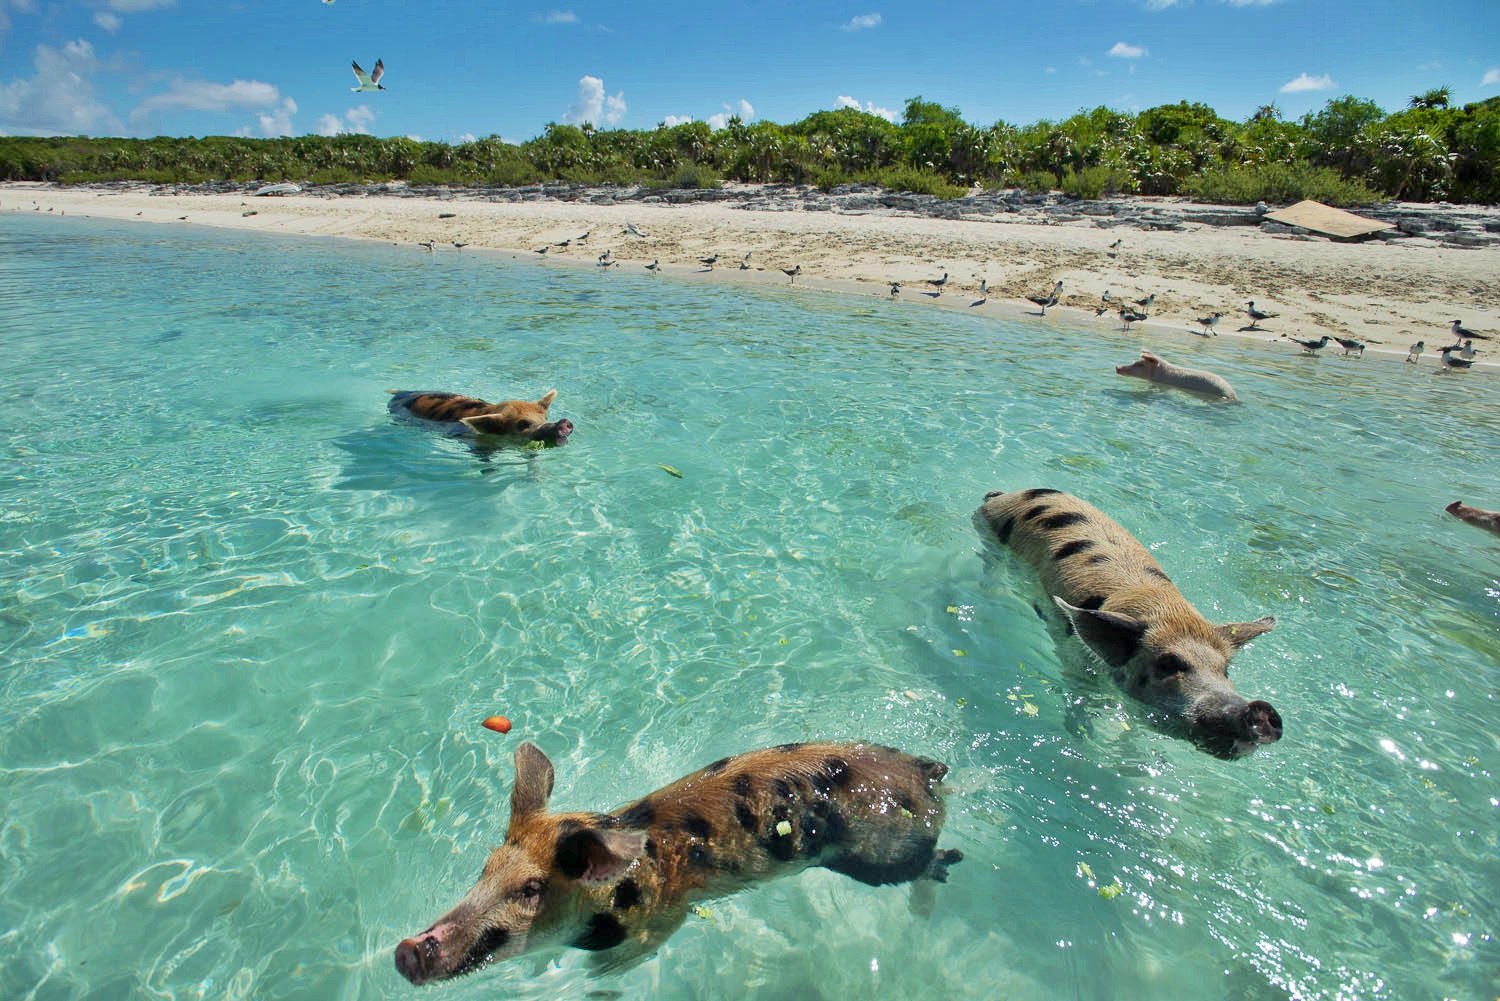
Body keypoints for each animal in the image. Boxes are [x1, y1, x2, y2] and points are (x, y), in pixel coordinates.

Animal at [396, 741, 960, 984]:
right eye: (485, 868)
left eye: (531, 890)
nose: (407, 950)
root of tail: (928, 769)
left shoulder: (661, 923)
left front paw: (598, 981)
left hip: (878, 854)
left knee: (925, 863)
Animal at [978, 486, 1284, 759]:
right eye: (1168, 664)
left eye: (1225, 670)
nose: (1261, 709)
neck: (1166, 613)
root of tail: (1006, 495)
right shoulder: (1076, 665)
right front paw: (1086, 746)